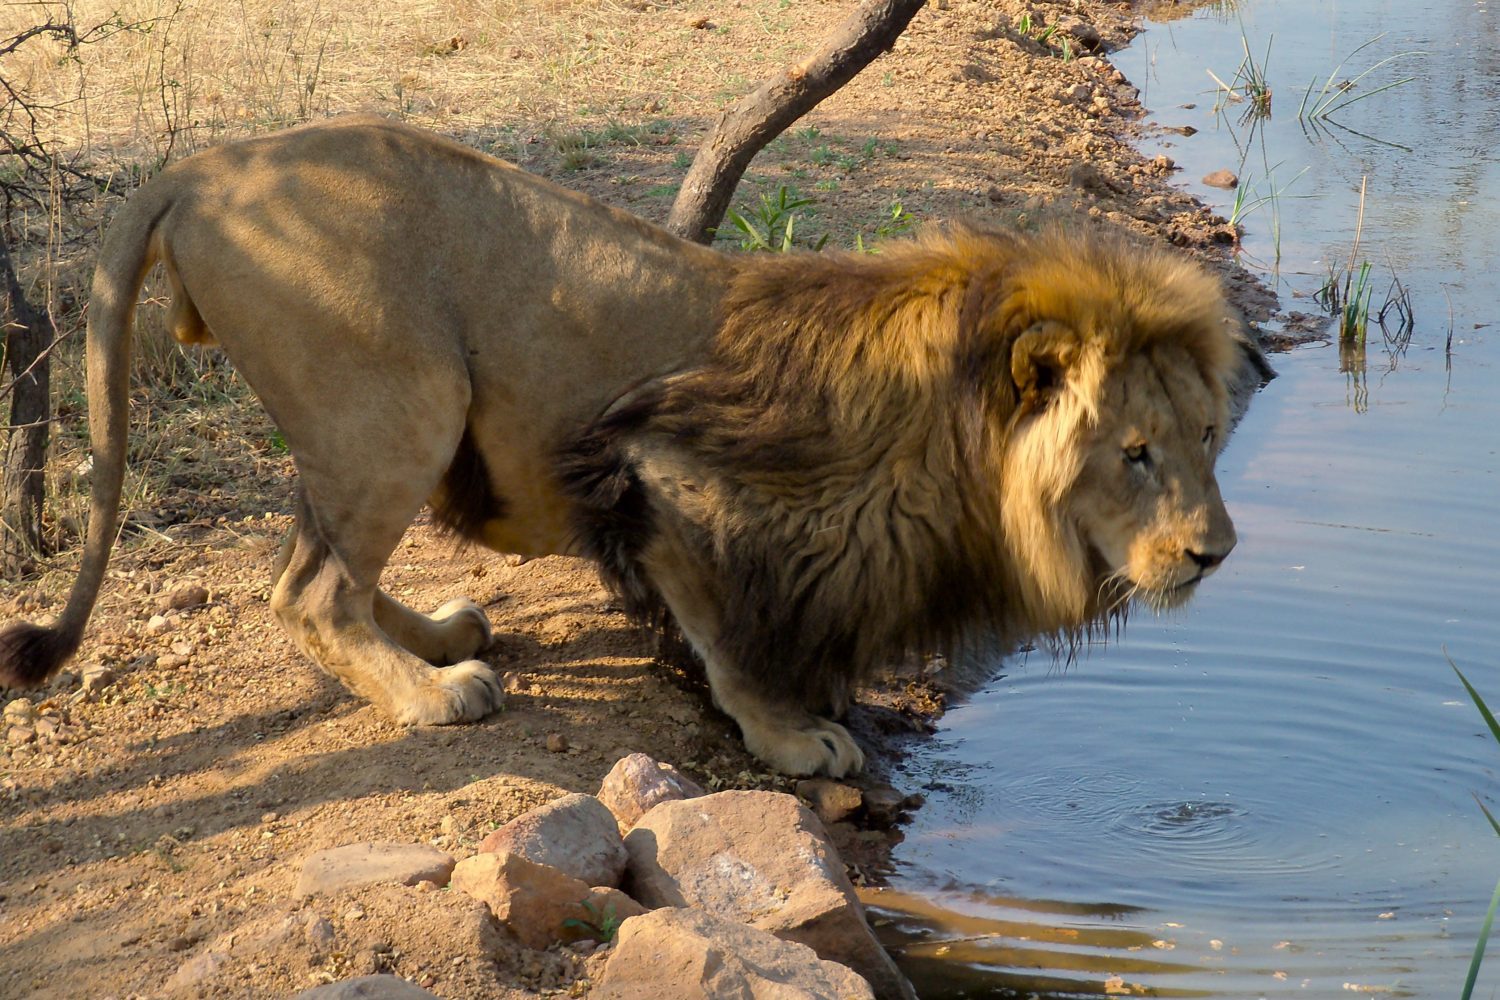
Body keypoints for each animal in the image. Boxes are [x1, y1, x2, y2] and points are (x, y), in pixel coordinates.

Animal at [0, 115, 1242, 773]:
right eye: (1133, 453)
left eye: (1207, 436)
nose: (1217, 554)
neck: (955, 435)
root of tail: (207, 164)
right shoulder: (665, 482)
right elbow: (732, 647)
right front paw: (797, 739)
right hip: (406, 397)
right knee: (306, 587)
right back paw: (434, 694)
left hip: (373, 419)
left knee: (317, 560)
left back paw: (439, 637)